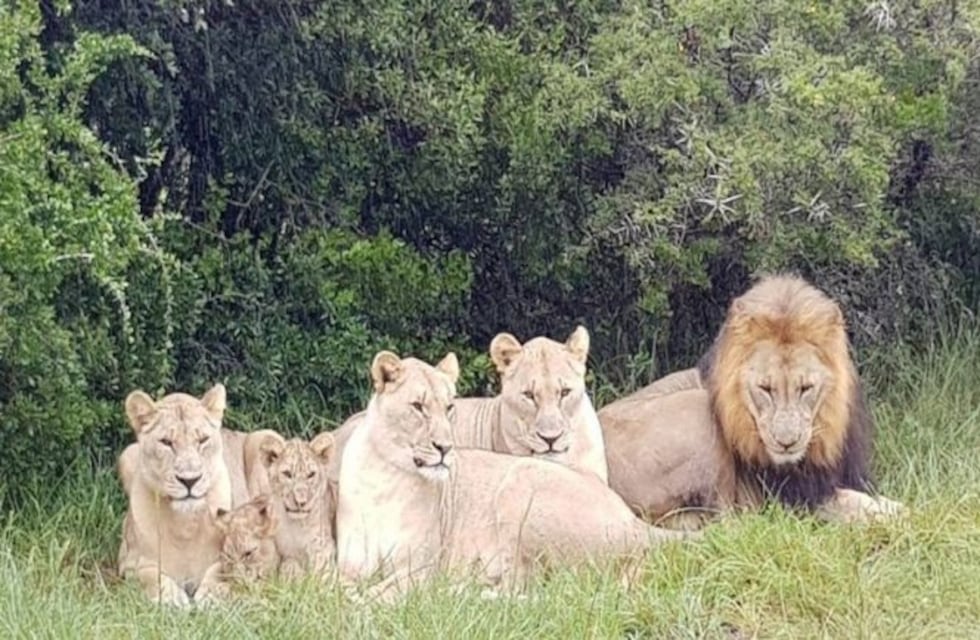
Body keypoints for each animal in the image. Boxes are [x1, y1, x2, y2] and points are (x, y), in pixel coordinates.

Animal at [116, 384, 237, 607]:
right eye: (166, 442)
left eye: (203, 440)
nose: (189, 480)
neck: (184, 525)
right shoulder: (128, 563)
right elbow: (151, 576)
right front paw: (173, 599)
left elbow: (220, 571)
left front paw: (210, 596)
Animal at [246, 430, 336, 579]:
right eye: (287, 474)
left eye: (311, 474)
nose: (301, 502)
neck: (295, 525)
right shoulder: (280, 553)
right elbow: (288, 564)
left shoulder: (324, 549)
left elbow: (322, 573)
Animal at [335, 351, 692, 600]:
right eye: (418, 407)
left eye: (449, 407)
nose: (445, 447)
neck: (385, 477)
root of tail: (632, 520)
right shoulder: (347, 566)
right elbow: (333, 591)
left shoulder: (421, 567)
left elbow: (378, 595)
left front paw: (365, 604)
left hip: (520, 482)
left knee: (532, 589)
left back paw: (457, 593)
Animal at [599, 275, 904, 527]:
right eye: (765, 388)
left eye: (805, 388)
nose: (786, 442)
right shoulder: (795, 498)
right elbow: (857, 504)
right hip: (697, 409)